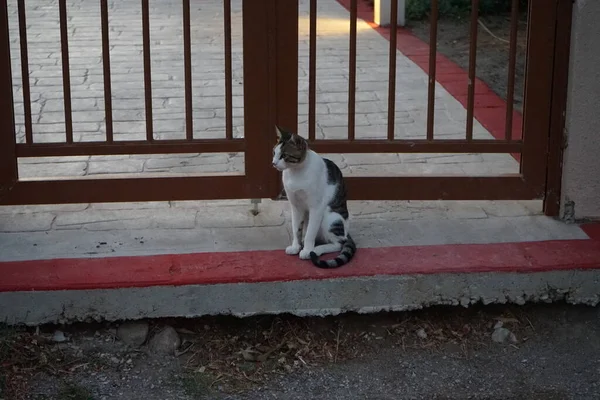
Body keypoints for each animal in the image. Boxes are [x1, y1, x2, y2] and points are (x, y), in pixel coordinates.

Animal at [272, 125, 356, 268]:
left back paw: (315, 250)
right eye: (274, 153)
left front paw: (306, 250)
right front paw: (296, 247)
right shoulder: (296, 206)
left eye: (284, 155)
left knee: (338, 243)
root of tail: (347, 232)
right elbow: (296, 229)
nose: (273, 163)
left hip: (331, 218)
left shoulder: (316, 207)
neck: (295, 172)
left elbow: (310, 233)